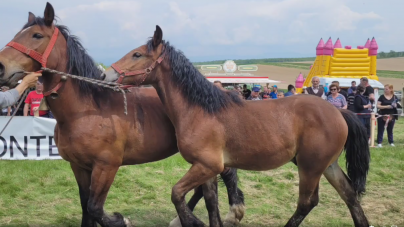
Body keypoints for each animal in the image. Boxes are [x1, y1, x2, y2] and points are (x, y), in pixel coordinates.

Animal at [0, 3, 246, 227]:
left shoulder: (106, 166)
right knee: (207, 191)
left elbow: (95, 207)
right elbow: (85, 207)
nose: (1, 67)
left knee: (223, 181)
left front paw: (121, 220)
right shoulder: (79, 167)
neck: (88, 112)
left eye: (37, 35)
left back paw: (231, 212)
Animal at [102, 25, 370, 227]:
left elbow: (177, 194)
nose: (106, 76)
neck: (201, 110)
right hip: (327, 165)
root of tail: (338, 111)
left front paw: (190, 222)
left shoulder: (207, 166)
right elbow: (211, 202)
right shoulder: (206, 168)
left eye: (137, 54)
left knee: (307, 202)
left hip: (310, 167)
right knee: (349, 196)